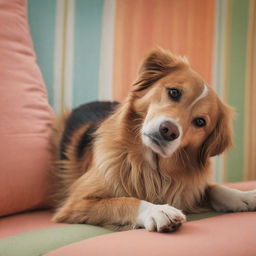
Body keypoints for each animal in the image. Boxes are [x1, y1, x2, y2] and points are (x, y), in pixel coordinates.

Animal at [51, 48, 256, 232]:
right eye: (174, 92)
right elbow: (125, 200)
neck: (152, 168)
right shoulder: (77, 202)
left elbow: (214, 188)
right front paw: (158, 211)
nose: (169, 131)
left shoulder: (189, 188)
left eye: (200, 122)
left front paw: (243, 197)